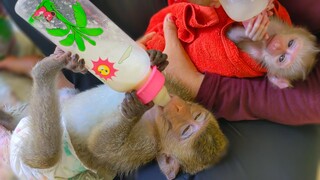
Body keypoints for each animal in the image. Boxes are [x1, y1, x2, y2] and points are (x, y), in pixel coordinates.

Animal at [1, 49, 228, 180]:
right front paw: (155, 60)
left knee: (46, 156)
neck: (157, 117)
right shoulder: (179, 92)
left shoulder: (148, 144)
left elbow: (99, 146)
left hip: (32, 162)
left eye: (186, 131)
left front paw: (133, 111)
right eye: (196, 117)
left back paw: (44, 71)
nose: (178, 107)